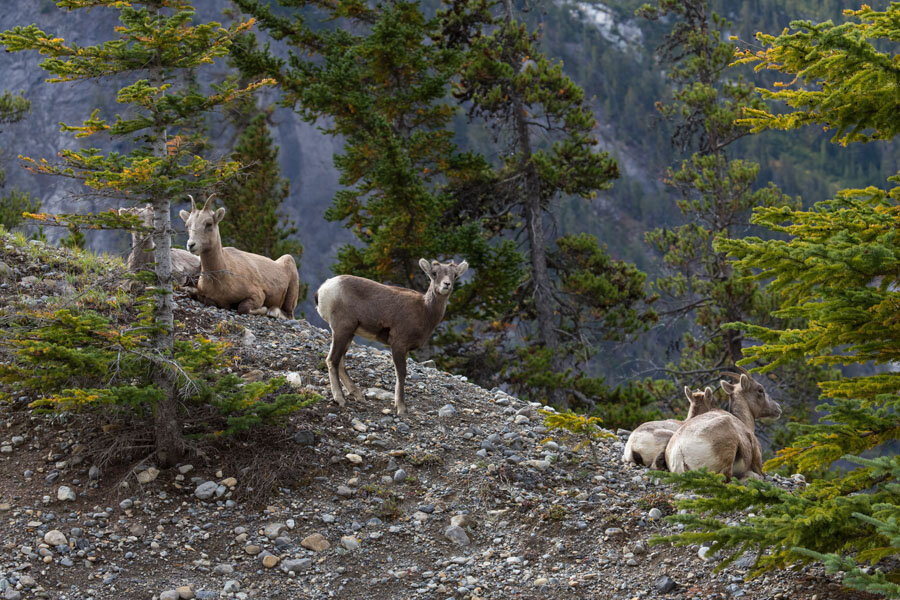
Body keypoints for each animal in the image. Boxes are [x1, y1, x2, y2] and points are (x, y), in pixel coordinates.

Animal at [314, 258, 468, 418]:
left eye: (454, 275)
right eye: (434, 273)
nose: (446, 284)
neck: (425, 311)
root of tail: (323, 289)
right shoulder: (398, 345)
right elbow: (401, 373)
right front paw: (401, 409)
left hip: (349, 334)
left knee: (340, 363)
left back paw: (358, 395)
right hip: (342, 330)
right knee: (332, 360)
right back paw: (340, 399)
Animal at [652, 364, 780, 480]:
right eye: (760, 390)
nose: (778, 408)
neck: (743, 421)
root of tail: (680, 452)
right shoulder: (758, 462)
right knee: (726, 476)